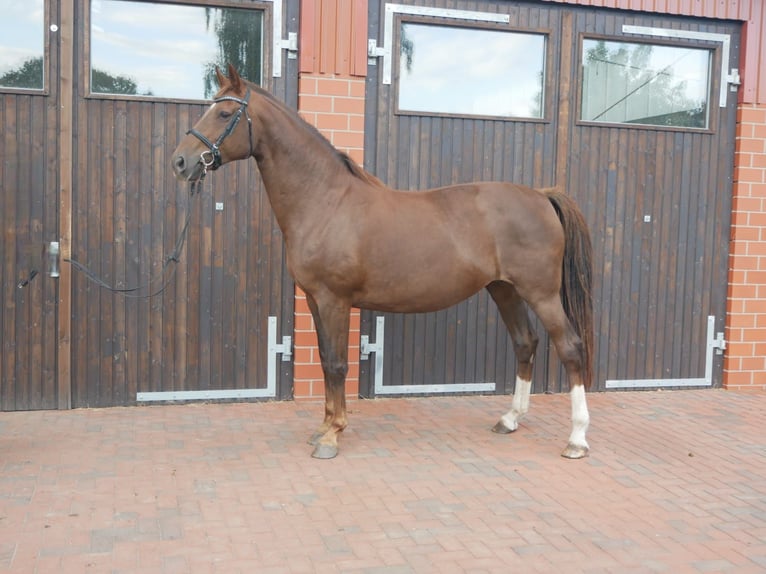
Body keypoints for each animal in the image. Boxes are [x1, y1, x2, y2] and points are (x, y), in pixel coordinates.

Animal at [172, 65, 595, 460]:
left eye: (225, 113)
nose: (180, 162)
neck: (325, 200)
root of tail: (541, 196)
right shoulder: (314, 300)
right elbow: (324, 360)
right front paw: (324, 427)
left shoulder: (335, 300)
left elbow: (337, 365)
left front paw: (332, 436)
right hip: (504, 290)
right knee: (525, 342)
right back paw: (510, 419)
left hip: (541, 293)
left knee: (570, 347)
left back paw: (576, 439)